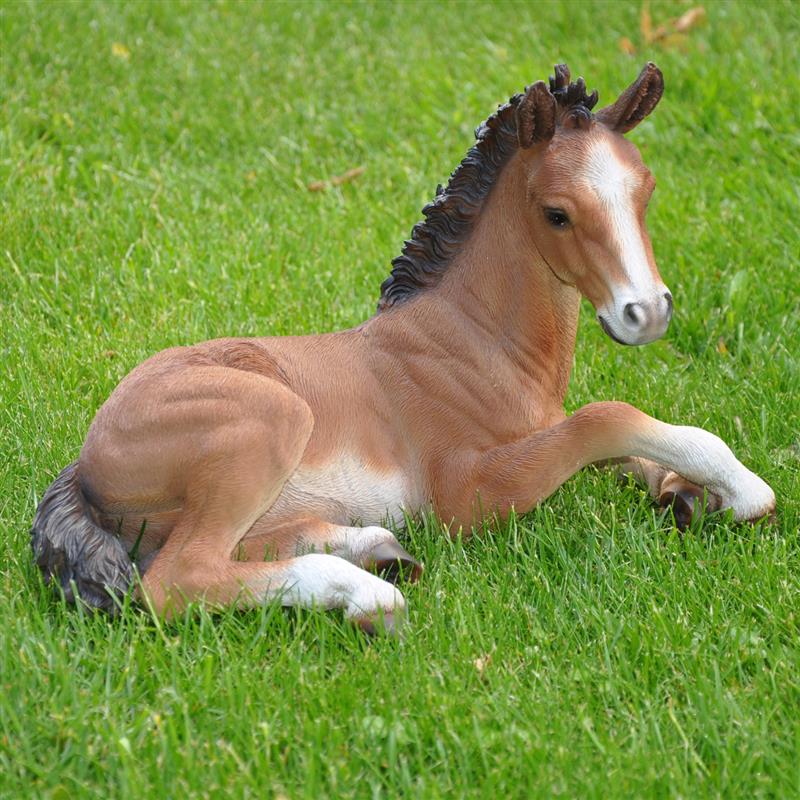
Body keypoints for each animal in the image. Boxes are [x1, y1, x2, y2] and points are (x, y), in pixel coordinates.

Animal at [31, 63, 775, 632]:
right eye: (557, 213)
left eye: (644, 191)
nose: (645, 313)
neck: (475, 340)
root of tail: (87, 461)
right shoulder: (468, 494)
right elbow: (608, 419)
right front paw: (743, 492)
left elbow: (625, 446)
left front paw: (689, 494)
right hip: (270, 420)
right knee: (178, 578)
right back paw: (365, 591)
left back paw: (374, 547)